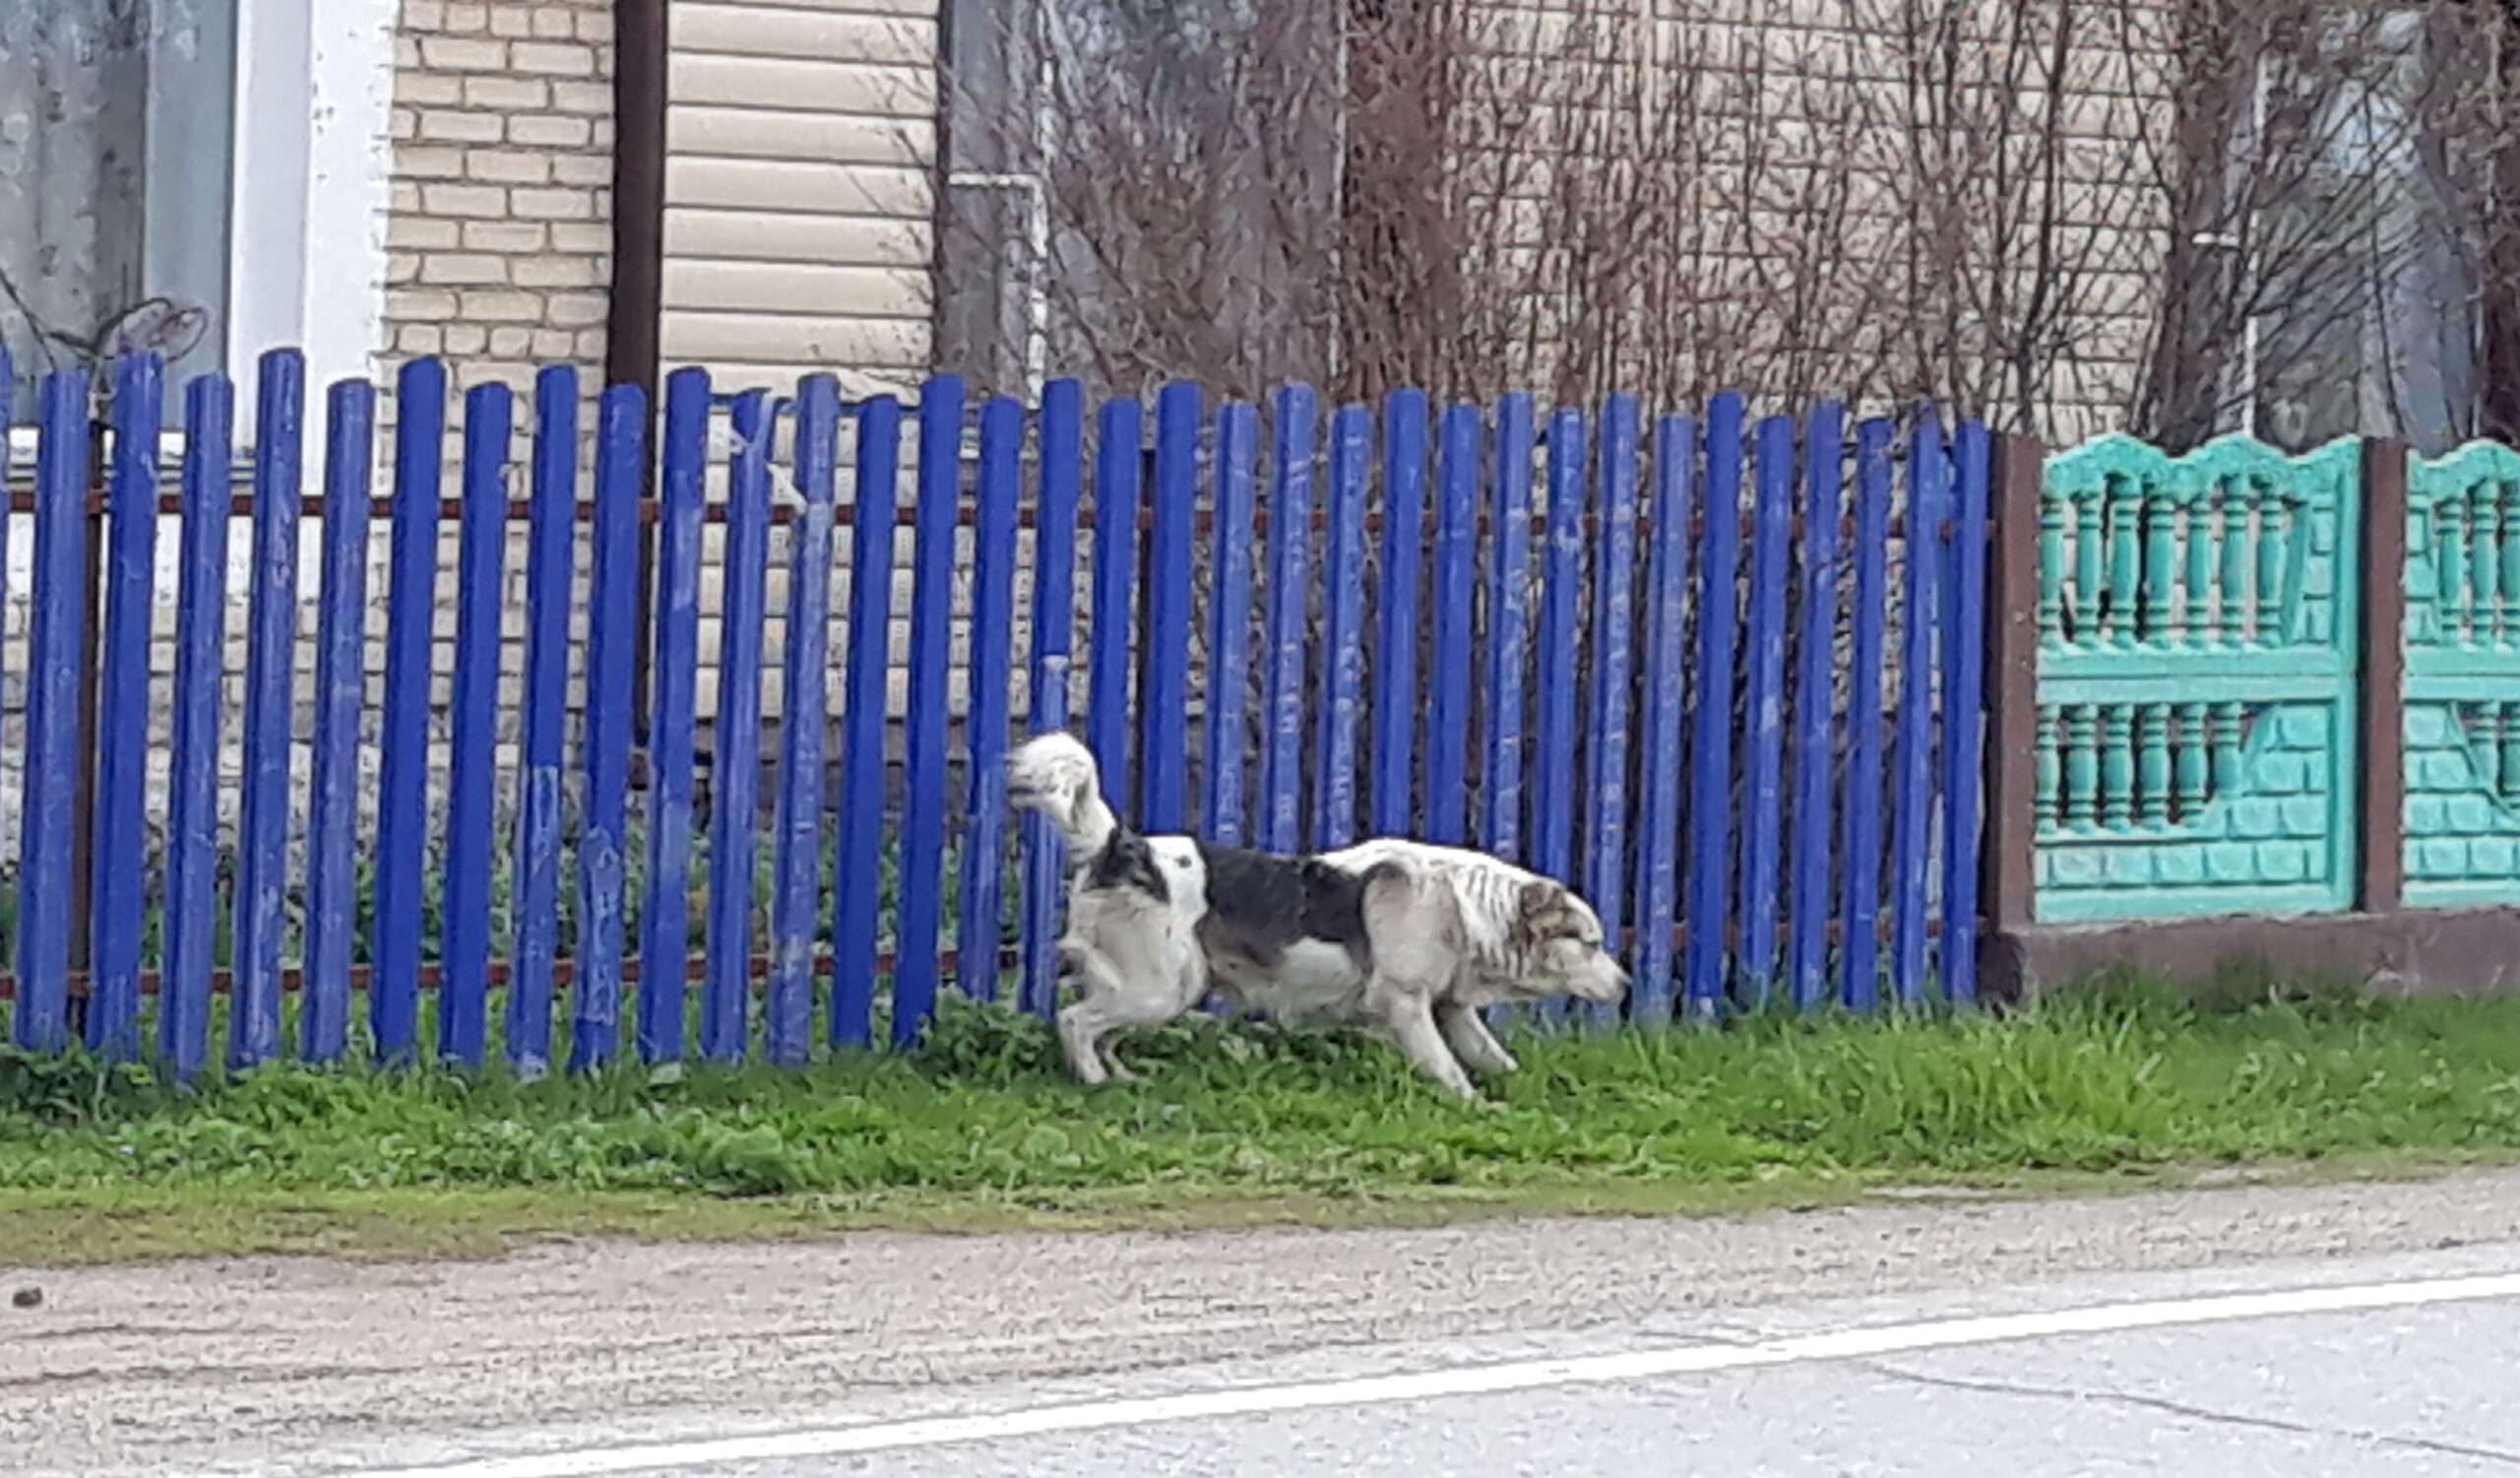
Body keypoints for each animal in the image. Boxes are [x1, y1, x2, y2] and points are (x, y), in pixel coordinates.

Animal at [1008, 731, 1632, 1099]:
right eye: (1590, 942)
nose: (1626, 985)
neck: (1459, 906)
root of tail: (1121, 847)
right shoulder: (1404, 1005)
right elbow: (1450, 1068)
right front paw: (1475, 1106)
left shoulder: (1451, 1008)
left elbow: (1493, 1058)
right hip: (1159, 988)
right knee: (1075, 1022)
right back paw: (1093, 1083)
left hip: (1165, 990)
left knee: (1103, 1031)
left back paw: (1120, 1077)